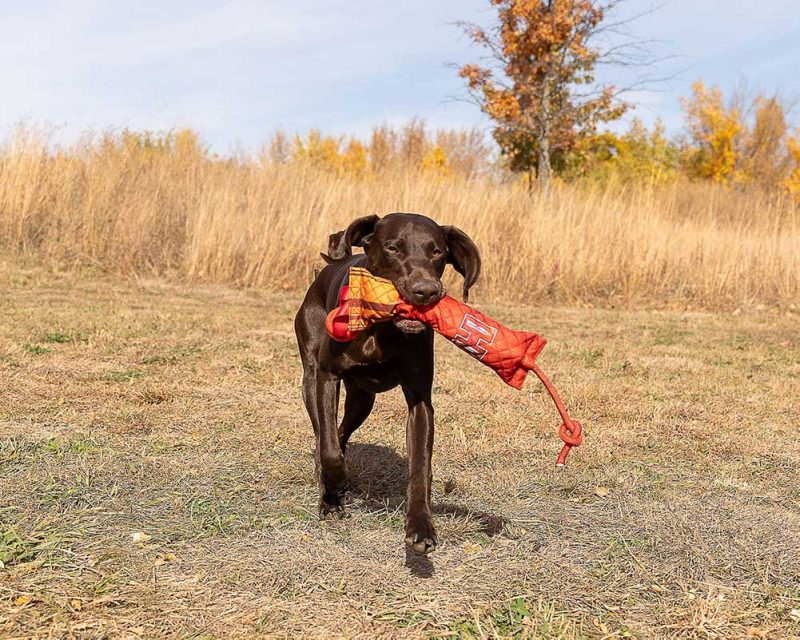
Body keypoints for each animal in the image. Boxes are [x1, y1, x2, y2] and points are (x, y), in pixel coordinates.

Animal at [296, 212, 478, 552]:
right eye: (393, 248)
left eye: (437, 252)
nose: (427, 291)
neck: (382, 329)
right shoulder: (327, 377)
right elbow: (329, 450)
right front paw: (332, 491)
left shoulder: (420, 400)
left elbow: (420, 467)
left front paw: (421, 526)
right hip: (310, 379)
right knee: (323, 433)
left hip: (362, 399)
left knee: (342, 430)